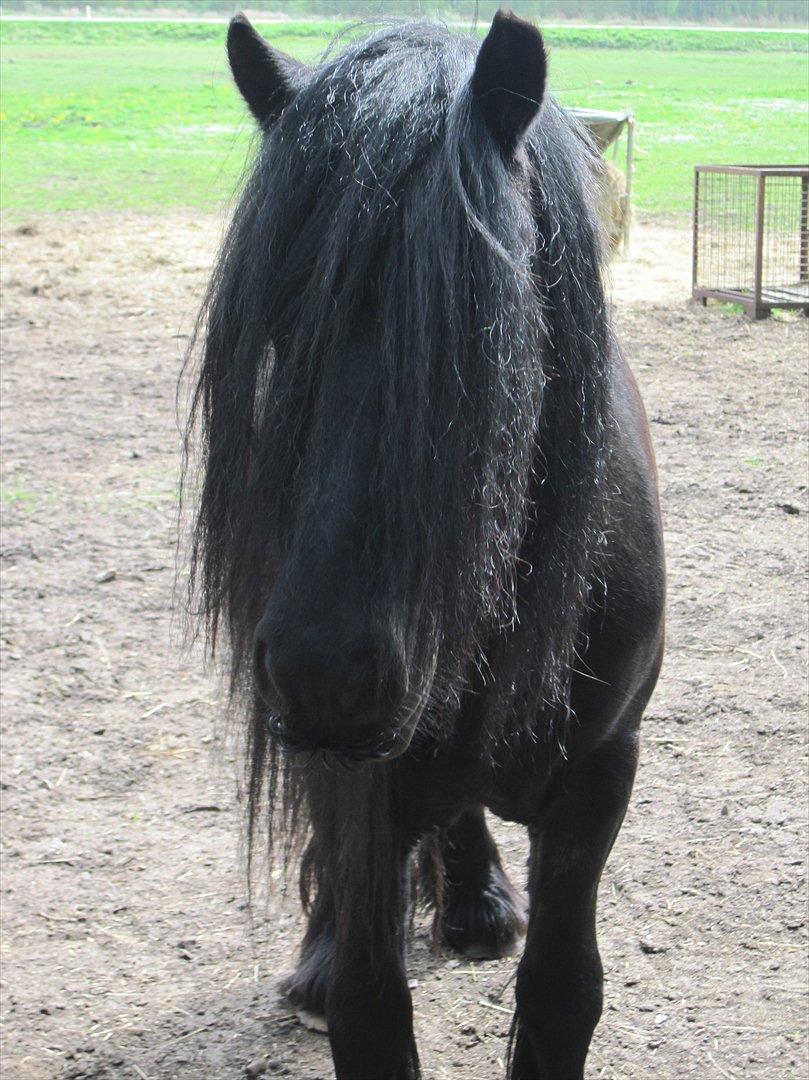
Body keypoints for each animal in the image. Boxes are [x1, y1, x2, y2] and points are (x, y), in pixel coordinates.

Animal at [186, 10, 665, 1079]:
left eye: (489, 344)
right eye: (278, 333)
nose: (326, 674)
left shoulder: (600, 774)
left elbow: (563, 993)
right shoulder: (358, 788)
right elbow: (370, 1005)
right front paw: (337, 964)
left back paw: (479, 903)